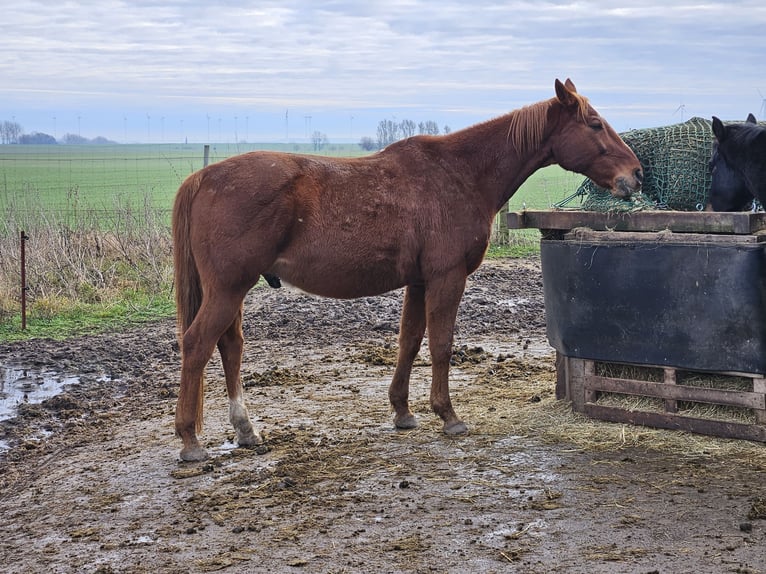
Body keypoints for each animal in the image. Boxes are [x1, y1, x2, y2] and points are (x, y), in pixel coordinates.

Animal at [172, 79, 640, 462]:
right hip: (228, 289)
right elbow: (441, 345)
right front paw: (448, 415)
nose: (635, 175)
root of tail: (204, 178)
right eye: (595, 124)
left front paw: (402, 411)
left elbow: (410, 343)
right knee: (197, 345)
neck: (460, 173)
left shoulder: (418, 282)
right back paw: (190, 441)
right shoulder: (447, 277)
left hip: (232, 291)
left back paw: (245, 430)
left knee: (230, 346)